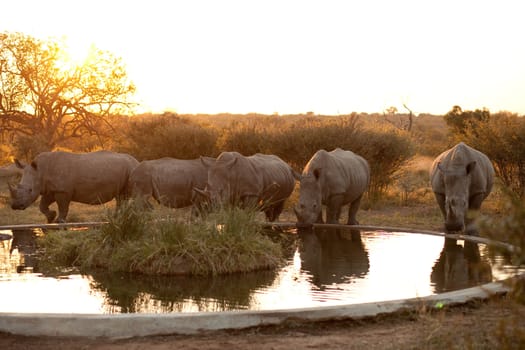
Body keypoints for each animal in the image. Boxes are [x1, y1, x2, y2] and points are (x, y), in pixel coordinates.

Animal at [9, 150, 139, 221]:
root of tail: (136, 161)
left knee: (125, 196)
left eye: (30, 190)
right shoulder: (50, 189)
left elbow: (63, 208)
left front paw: (59, 221)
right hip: (126, 169)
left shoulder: (63, 190)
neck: (40, 171)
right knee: (120, 197)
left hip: (131, 169)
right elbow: (42, 205)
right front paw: (51, 217)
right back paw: (117, 218)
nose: (16, 206)